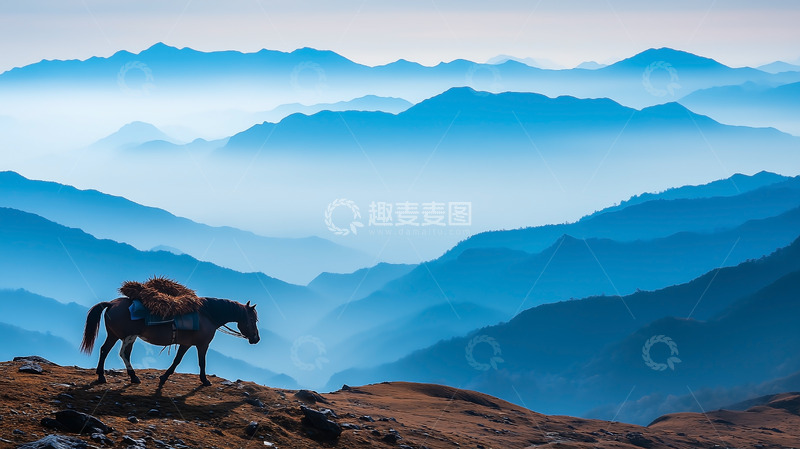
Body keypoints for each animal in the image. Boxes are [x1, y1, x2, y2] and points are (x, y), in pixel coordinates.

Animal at [80, 296, 260, 386]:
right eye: (253, 319)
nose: (256, 338)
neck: (208, 315)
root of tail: (112, 303)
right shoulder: (202, 345)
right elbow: (201, 362)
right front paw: (205, 380)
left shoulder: (185, 344)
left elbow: (176, 361)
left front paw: (163, 378)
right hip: (128, 337)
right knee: (124, 354)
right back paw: (133, 377)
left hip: (114, 335)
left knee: (104, 350)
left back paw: (102, 376)